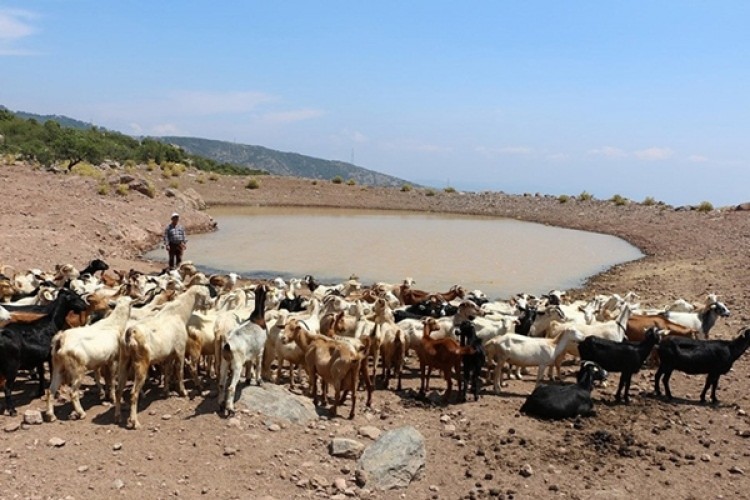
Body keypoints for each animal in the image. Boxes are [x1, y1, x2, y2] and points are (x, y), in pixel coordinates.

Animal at [0, 288, 87, 416]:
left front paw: (40, 392)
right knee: (7, 388)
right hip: (12, 366)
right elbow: (51, 373)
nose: (85, 306)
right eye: (73, 298)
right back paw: (12, 410)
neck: (51, 322)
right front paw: (56, 393)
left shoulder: (40, 358)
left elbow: (41, 374)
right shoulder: (51, 357)